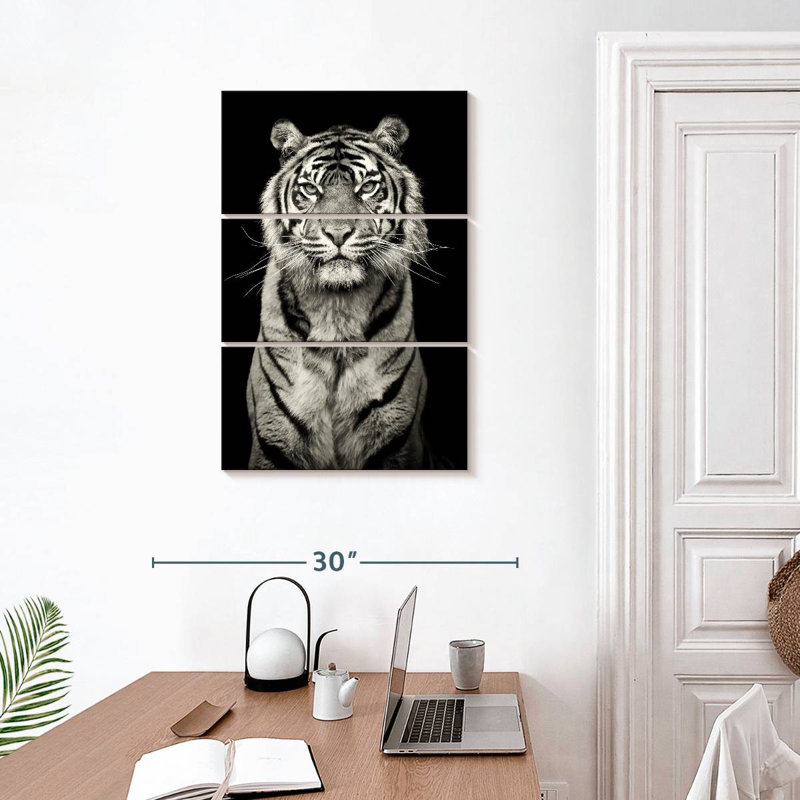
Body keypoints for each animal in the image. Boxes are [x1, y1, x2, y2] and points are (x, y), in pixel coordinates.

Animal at [246, 116, 433, 469]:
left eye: (367, 187)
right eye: (310, 189)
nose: (337, 233)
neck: (337, 309)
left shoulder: (395, 438)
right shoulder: (274, 437)